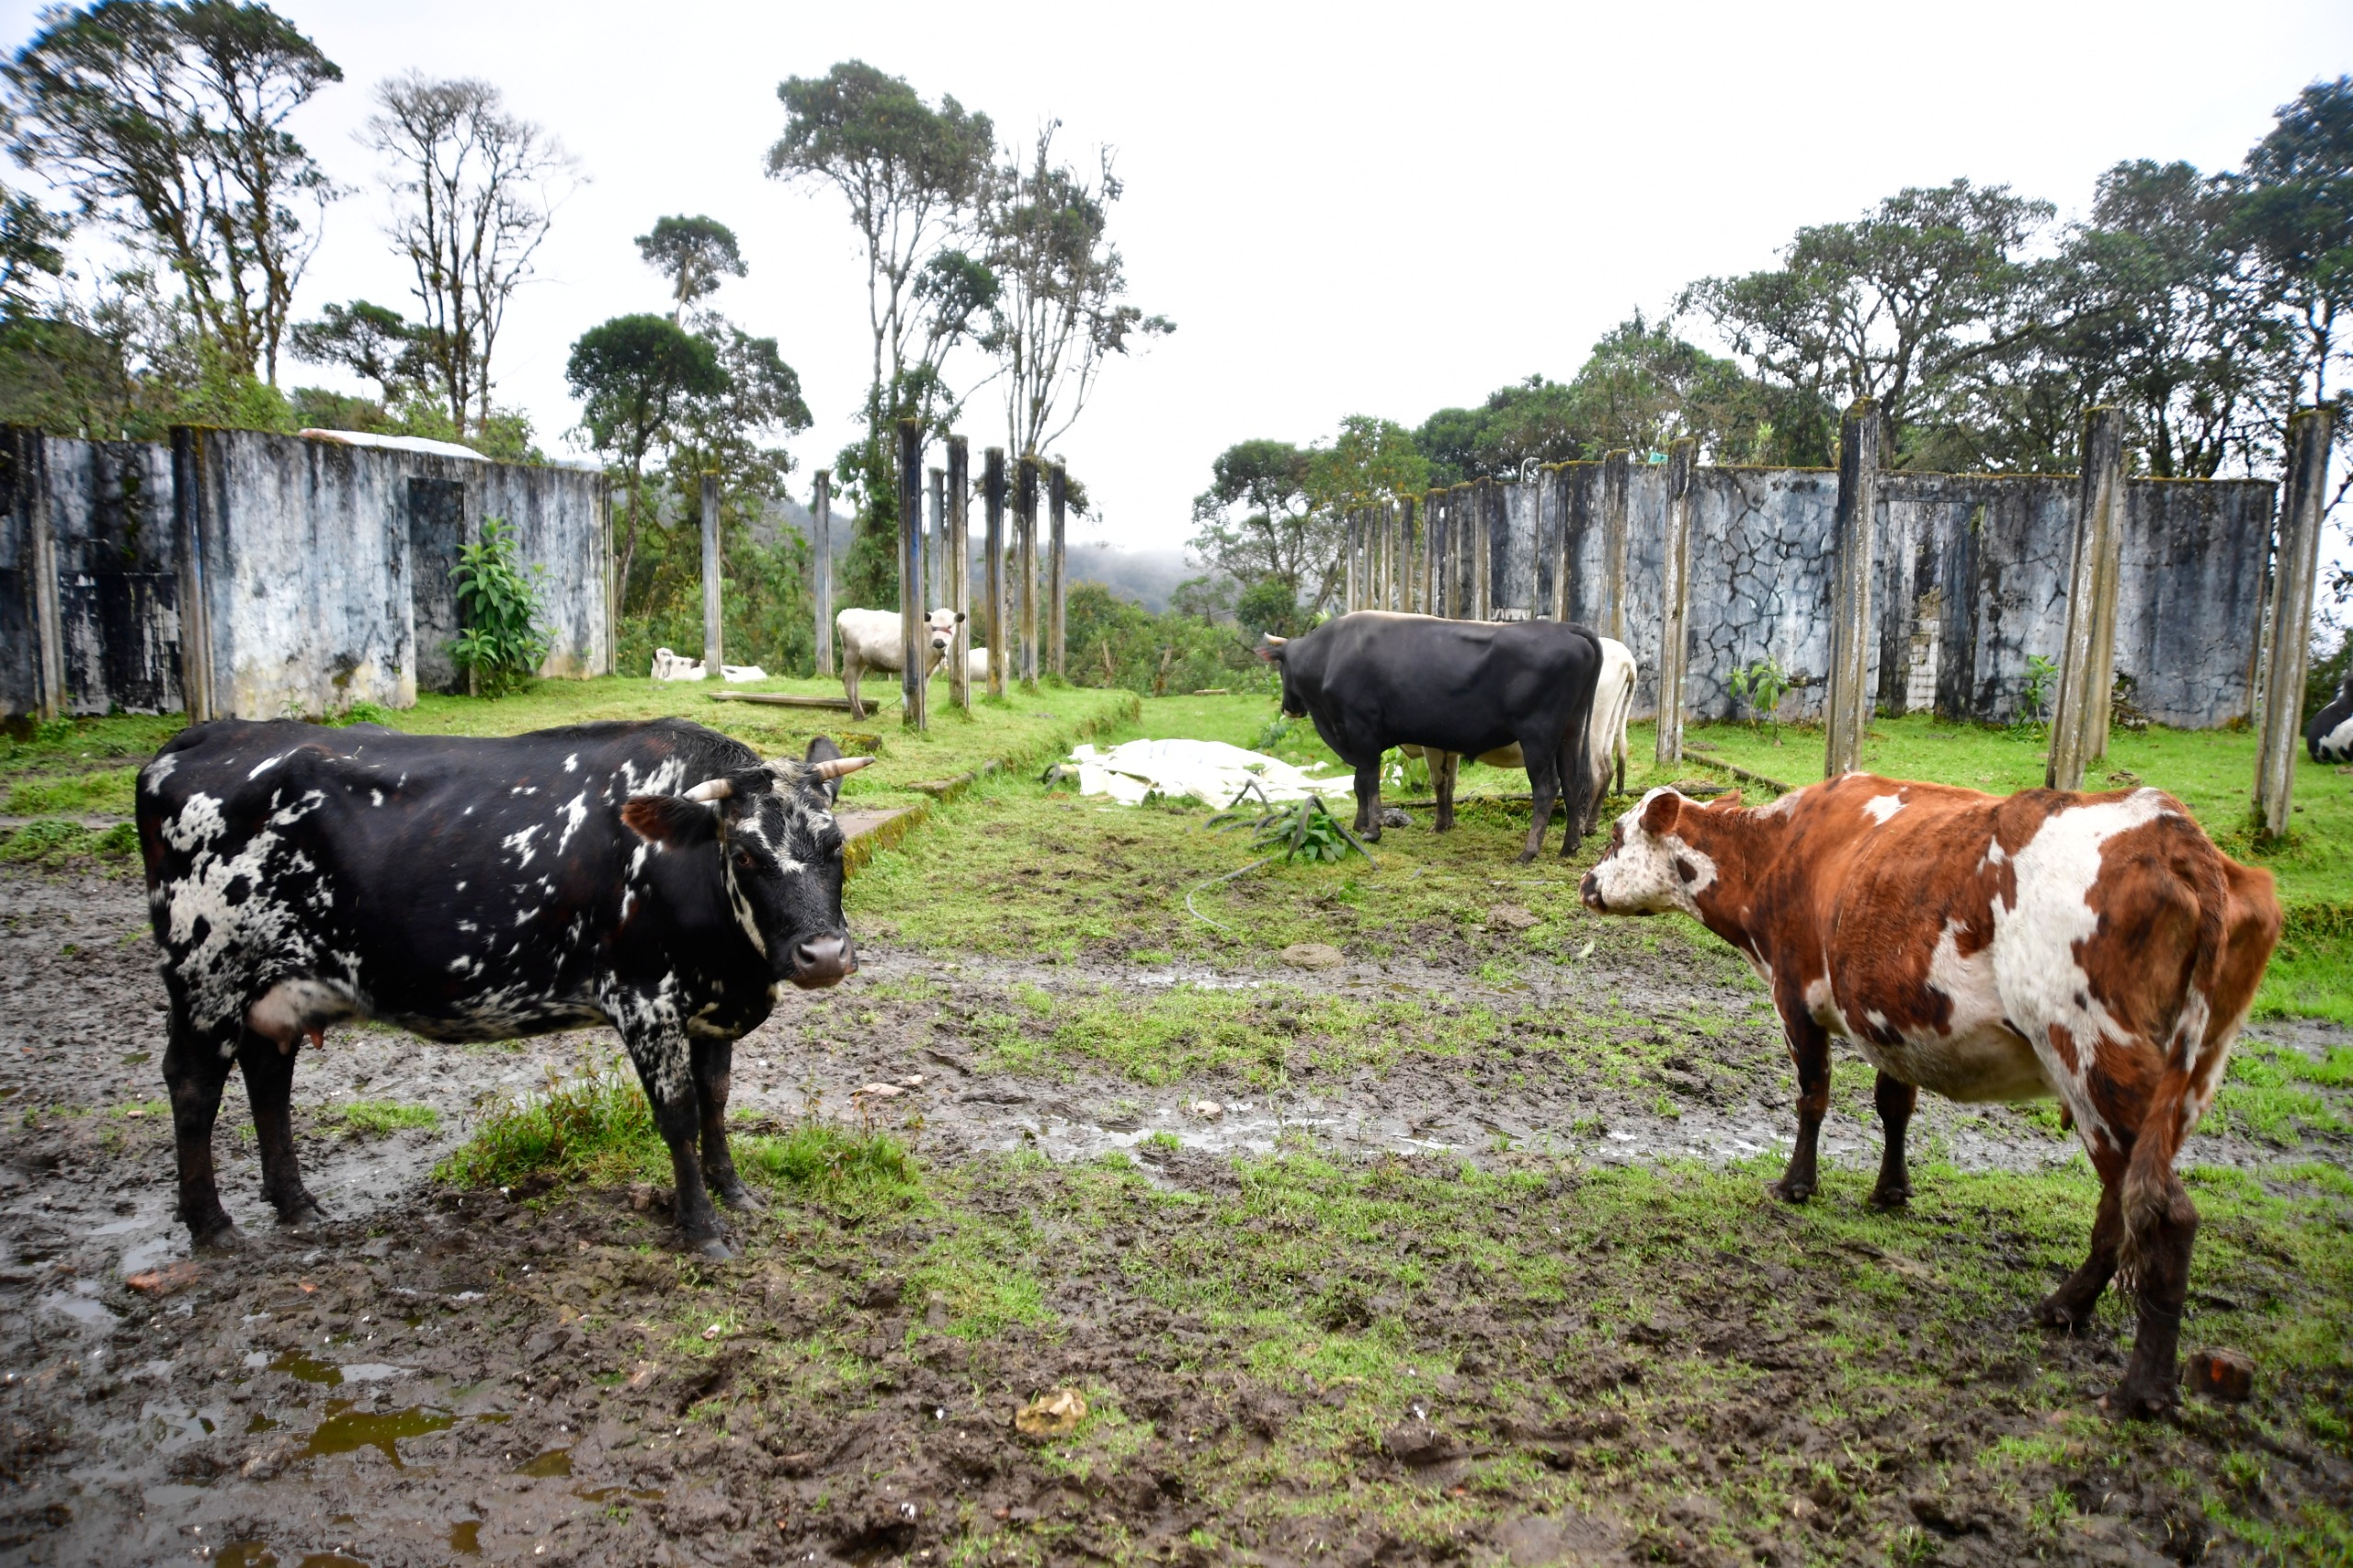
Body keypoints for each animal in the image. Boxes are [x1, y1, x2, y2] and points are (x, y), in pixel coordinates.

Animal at [135, 717, 873, 1260]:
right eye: (745, 854)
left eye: (836, 843)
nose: (823, 955)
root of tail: (207, 735)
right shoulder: (645, 999)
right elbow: (680, 1115)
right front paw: (701, 1229)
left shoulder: (709, 1005)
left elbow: (717, 1101)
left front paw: (735, 1192)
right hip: (206, 977)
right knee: (194, 1084)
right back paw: (210, 1224)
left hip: (276, 986)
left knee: (268, 1074)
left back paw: (295, 1204)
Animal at [836, 606, 964, 720]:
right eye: (933, 626)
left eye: (950, 626)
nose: (938, 642)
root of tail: (844, 613)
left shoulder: (928, 671)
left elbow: (924, 692)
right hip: (851, 655)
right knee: (848, 680)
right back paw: (857, 715)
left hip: (861, 660)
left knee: (855, 682)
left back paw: (861, 714)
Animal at [1258, 611, 1605, 863]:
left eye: (1281, 668)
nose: (1288, 708)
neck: (1331, 654)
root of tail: (1566, 629)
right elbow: (1359, 783)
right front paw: (1358, 825)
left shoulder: (1362, 729)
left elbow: (1368, 781)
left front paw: (1373, 830)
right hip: (1570, 733)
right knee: (1572, 784)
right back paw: (1569, 847)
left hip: (1537, 737)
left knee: (1546, 789)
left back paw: (1529, 852)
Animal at [1578, 775, 2281, 1417]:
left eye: (1615, 835)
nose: (1586, 882)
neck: (1780, 849)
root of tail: (2171, 830)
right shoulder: (1894, 1019)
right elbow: (1895, 1106)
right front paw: (1891, 1190)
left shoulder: (1795, 994)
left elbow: (1813, 1096)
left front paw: (1796, 1184)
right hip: (2177, 1079)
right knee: (2125, 1197)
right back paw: (2066, 1307)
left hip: (2091, 1053)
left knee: (2164, 1213)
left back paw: (2141, 1389)